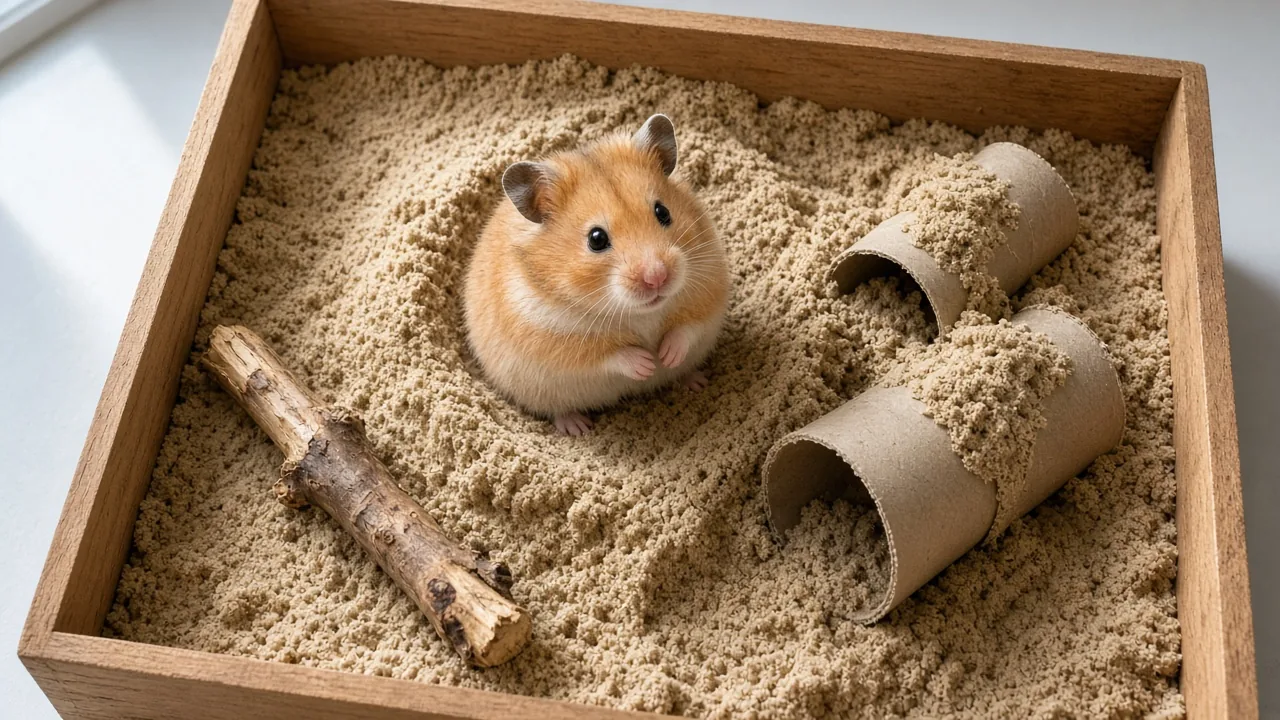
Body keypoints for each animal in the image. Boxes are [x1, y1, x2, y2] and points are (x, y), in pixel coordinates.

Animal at [463, 114, 730, 436]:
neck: (642, 313)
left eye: (663, 212)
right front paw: (647, 364)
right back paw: (577, 427)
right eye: (596, 239)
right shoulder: (555, 340)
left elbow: (686, 328)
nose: (657, 277)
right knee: (560, 410)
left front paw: (666, 357)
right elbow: (610, 355)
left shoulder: (709, 288)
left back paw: (696, 381)